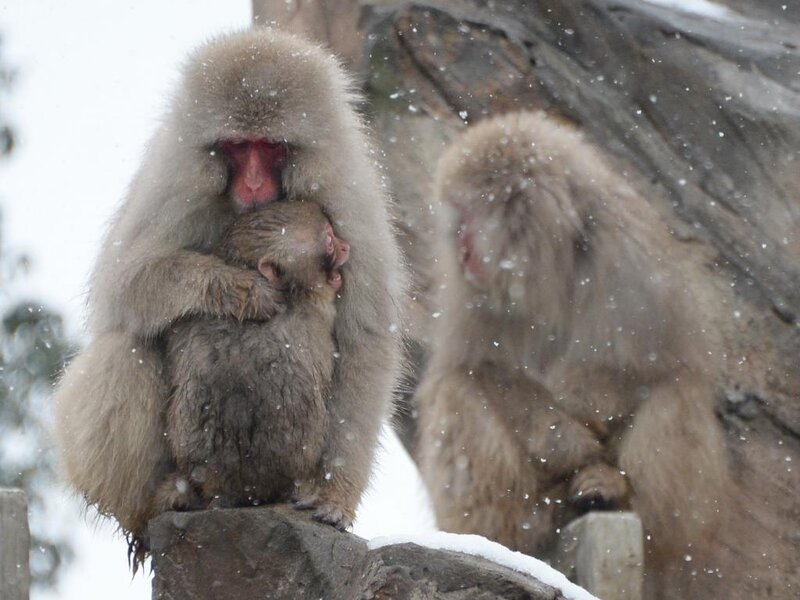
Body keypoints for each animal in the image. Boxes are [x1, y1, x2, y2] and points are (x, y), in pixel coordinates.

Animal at [154, 200, 350, 514]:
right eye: (329, 241)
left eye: (332, 232)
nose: (345, 246)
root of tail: (233, 488)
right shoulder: (317, 318)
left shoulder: (186, 319)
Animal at [415, 111, 739, 596]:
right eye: (458, 226)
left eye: (468, 219)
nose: (463, 250)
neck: (551, 261)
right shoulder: (474, 294)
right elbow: (483, 369)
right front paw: (569, 444)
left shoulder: (629, 256)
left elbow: (649, 366)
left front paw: (589, 422)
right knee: (455, 391)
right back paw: (509, 536)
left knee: (680, 393)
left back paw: (613, 492)